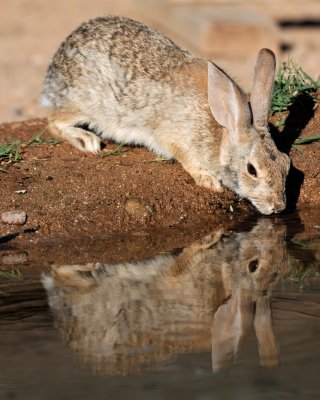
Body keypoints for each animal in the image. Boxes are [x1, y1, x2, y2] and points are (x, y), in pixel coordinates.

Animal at [38, 15, 292, 216]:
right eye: (252, 170)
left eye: (286, 163)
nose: (278, 207)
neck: (221, 133)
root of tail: (57, 63)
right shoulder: (176, 137)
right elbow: (185, 158)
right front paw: (208, 181)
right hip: (83, 104)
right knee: (54, 122)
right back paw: (86, 140)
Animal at [42, 217, 290, 374]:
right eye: (254, 265)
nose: (275, 233)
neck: (223, 277)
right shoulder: (183, 274)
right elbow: (186, 256)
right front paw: (213, 235)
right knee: (60, 271)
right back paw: (89, 264)